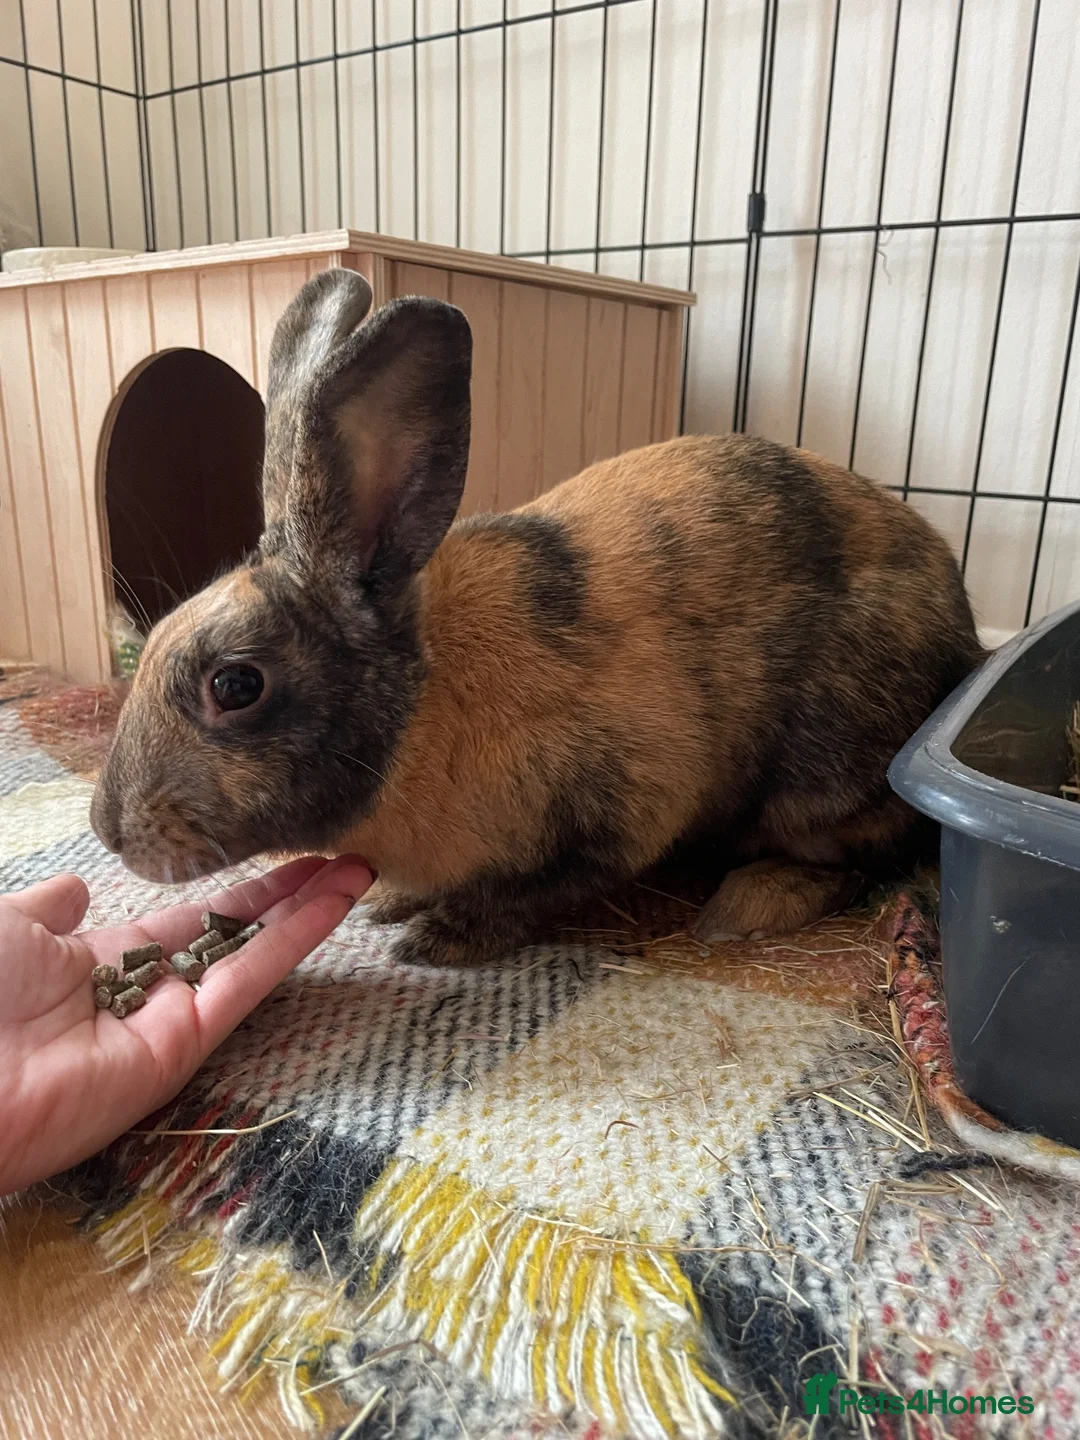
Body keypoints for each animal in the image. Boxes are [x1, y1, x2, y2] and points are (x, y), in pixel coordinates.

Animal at [90, 266, 985, 966]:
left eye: (236, 685)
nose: (109, 831)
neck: (422, 708)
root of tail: (965, 636)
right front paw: (390, 903)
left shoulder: (619, 812)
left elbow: (537, 893)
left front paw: (437, 936)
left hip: (821, 776)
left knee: (864, 858)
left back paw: (746, 906)